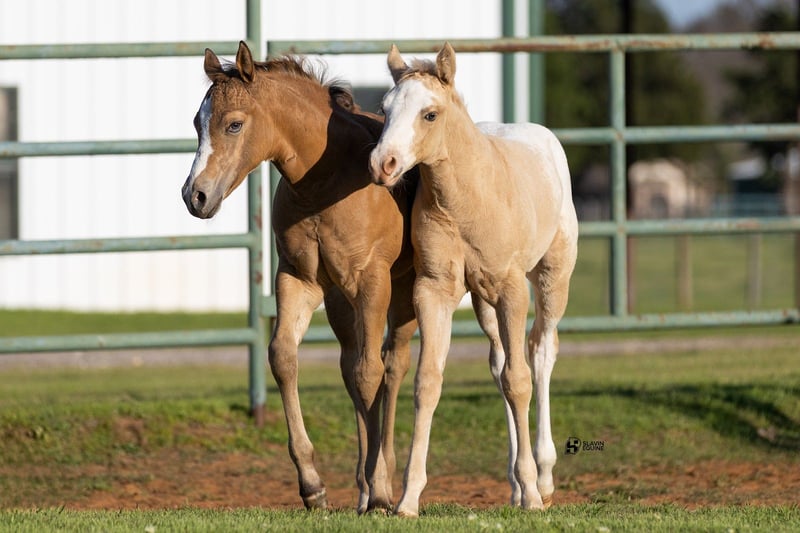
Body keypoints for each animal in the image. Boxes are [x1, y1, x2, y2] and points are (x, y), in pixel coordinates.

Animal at [181, 41, 418, 514]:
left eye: (234, 124)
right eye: (197, 123)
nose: (194, 196)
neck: (327, 181)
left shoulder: (373, 282)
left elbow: (371, 372)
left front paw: (382, 490)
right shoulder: (298, 279)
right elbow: (284, 358)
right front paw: (313, 486)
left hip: (404, 292)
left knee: (392, 365)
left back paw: (382, 483)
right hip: (341, 299)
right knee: (351, 365)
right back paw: (361, 490)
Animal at [369, 43, 579, 517]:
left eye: (429, 114)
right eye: (384, 109)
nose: (383, 164)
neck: (465, 200)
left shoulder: (511, 290)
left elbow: (521, 381)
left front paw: (533, 495)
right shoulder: (434, 290)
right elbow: (428, 382)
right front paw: (408, 498)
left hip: (552, 277)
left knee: (541, 352)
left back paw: (542, 479)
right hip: (483, 301)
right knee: (499, 363)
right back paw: (516, 485)